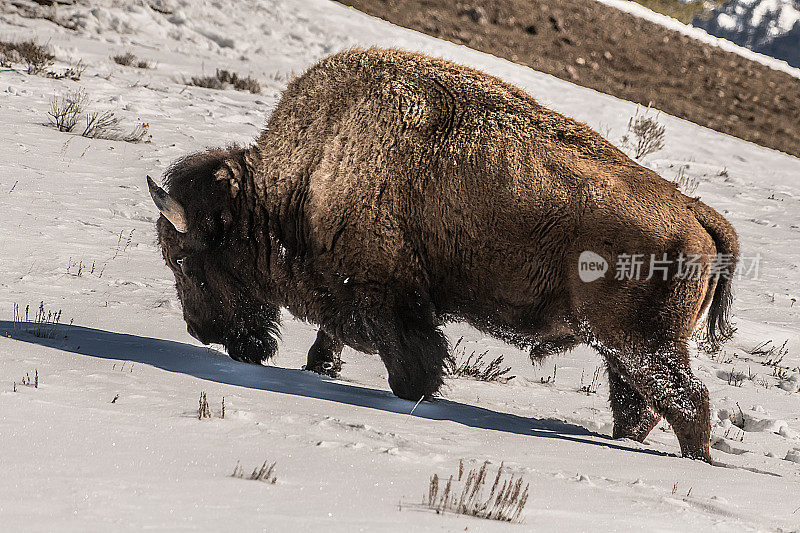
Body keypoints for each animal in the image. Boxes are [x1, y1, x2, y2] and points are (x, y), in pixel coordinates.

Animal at [148, 46, 736, 462]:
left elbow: (411, 359)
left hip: (644, 346)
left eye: (185, 260)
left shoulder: (389, 296)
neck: (307, 175)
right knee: (641, 407)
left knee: (689, 404)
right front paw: (323, 367)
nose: (203, 330)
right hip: (623, 350)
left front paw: (415, 395)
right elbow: (335, 334)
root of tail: (695, 211)